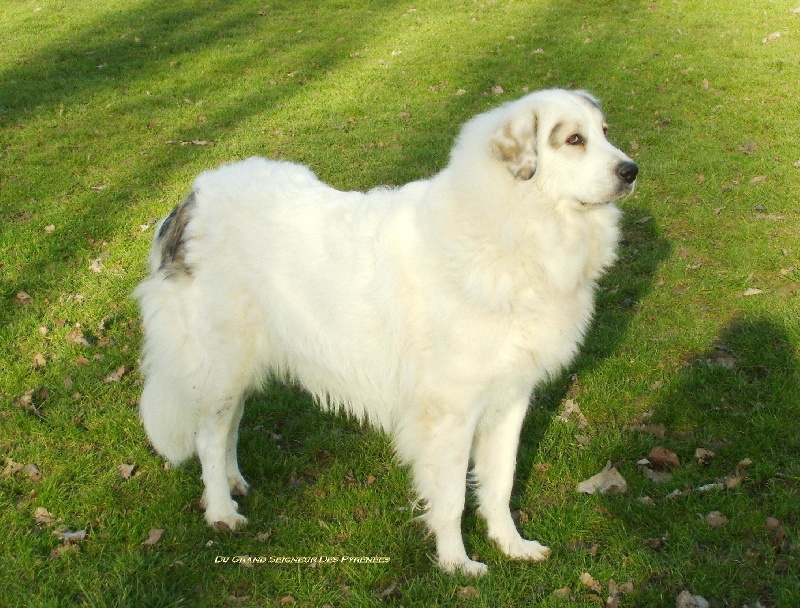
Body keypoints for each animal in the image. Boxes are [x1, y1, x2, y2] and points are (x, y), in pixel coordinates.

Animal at [136, 89, 636, 576]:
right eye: (574, 140)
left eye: (605, 132)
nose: (631, 170)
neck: (512, 228)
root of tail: (194, 195)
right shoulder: (451, 411)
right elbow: (452, 498)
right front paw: (457, 564)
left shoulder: (511, 398)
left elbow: (500, 483)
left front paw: (510, 545)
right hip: (220, 363)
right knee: (208, 438)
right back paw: (221, 511)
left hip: (235, 368)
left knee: (228, 428)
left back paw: (234, 481)